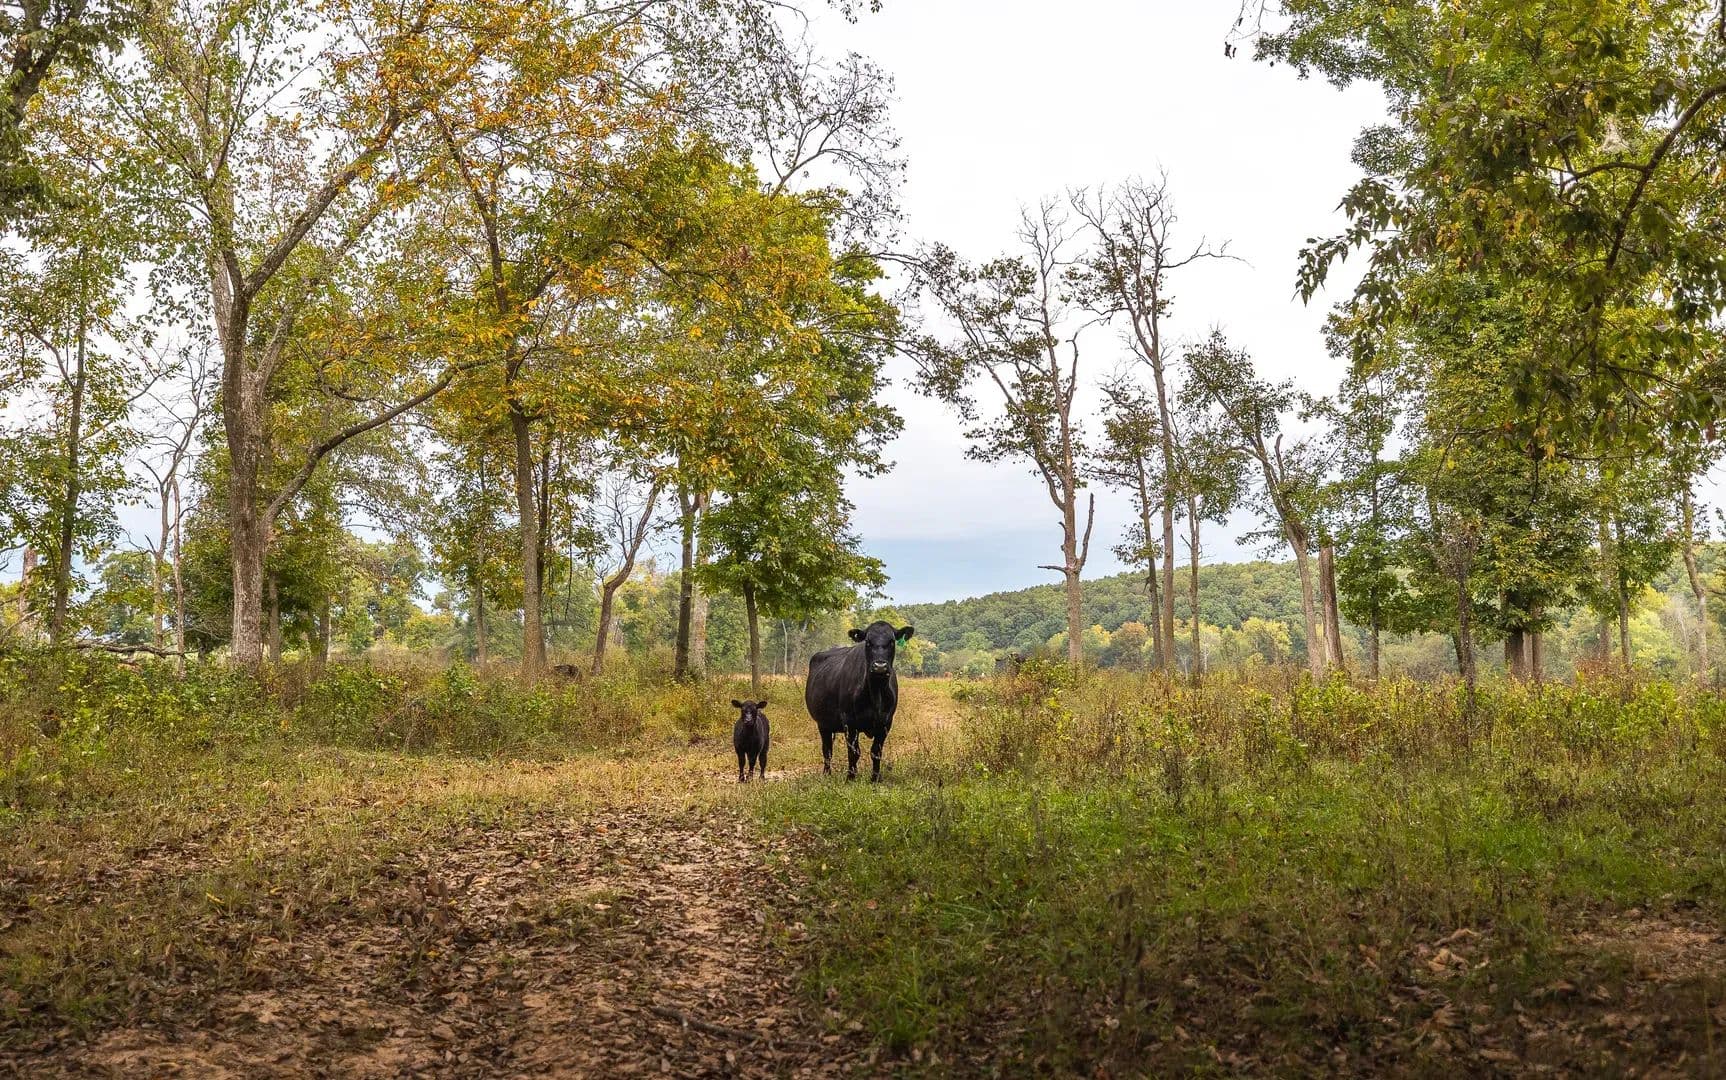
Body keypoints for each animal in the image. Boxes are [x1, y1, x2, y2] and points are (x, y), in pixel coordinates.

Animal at [805, 621, 914, 782]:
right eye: (868, 642)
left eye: (892, 641)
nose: (879, 666)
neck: (876, 693)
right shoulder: (849, 722)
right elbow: (854, 752)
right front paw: (851, 777)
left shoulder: (886, 723)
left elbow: (876, 752)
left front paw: (875, 778)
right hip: (822, 723)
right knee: (827, 750)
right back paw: (827, 774)